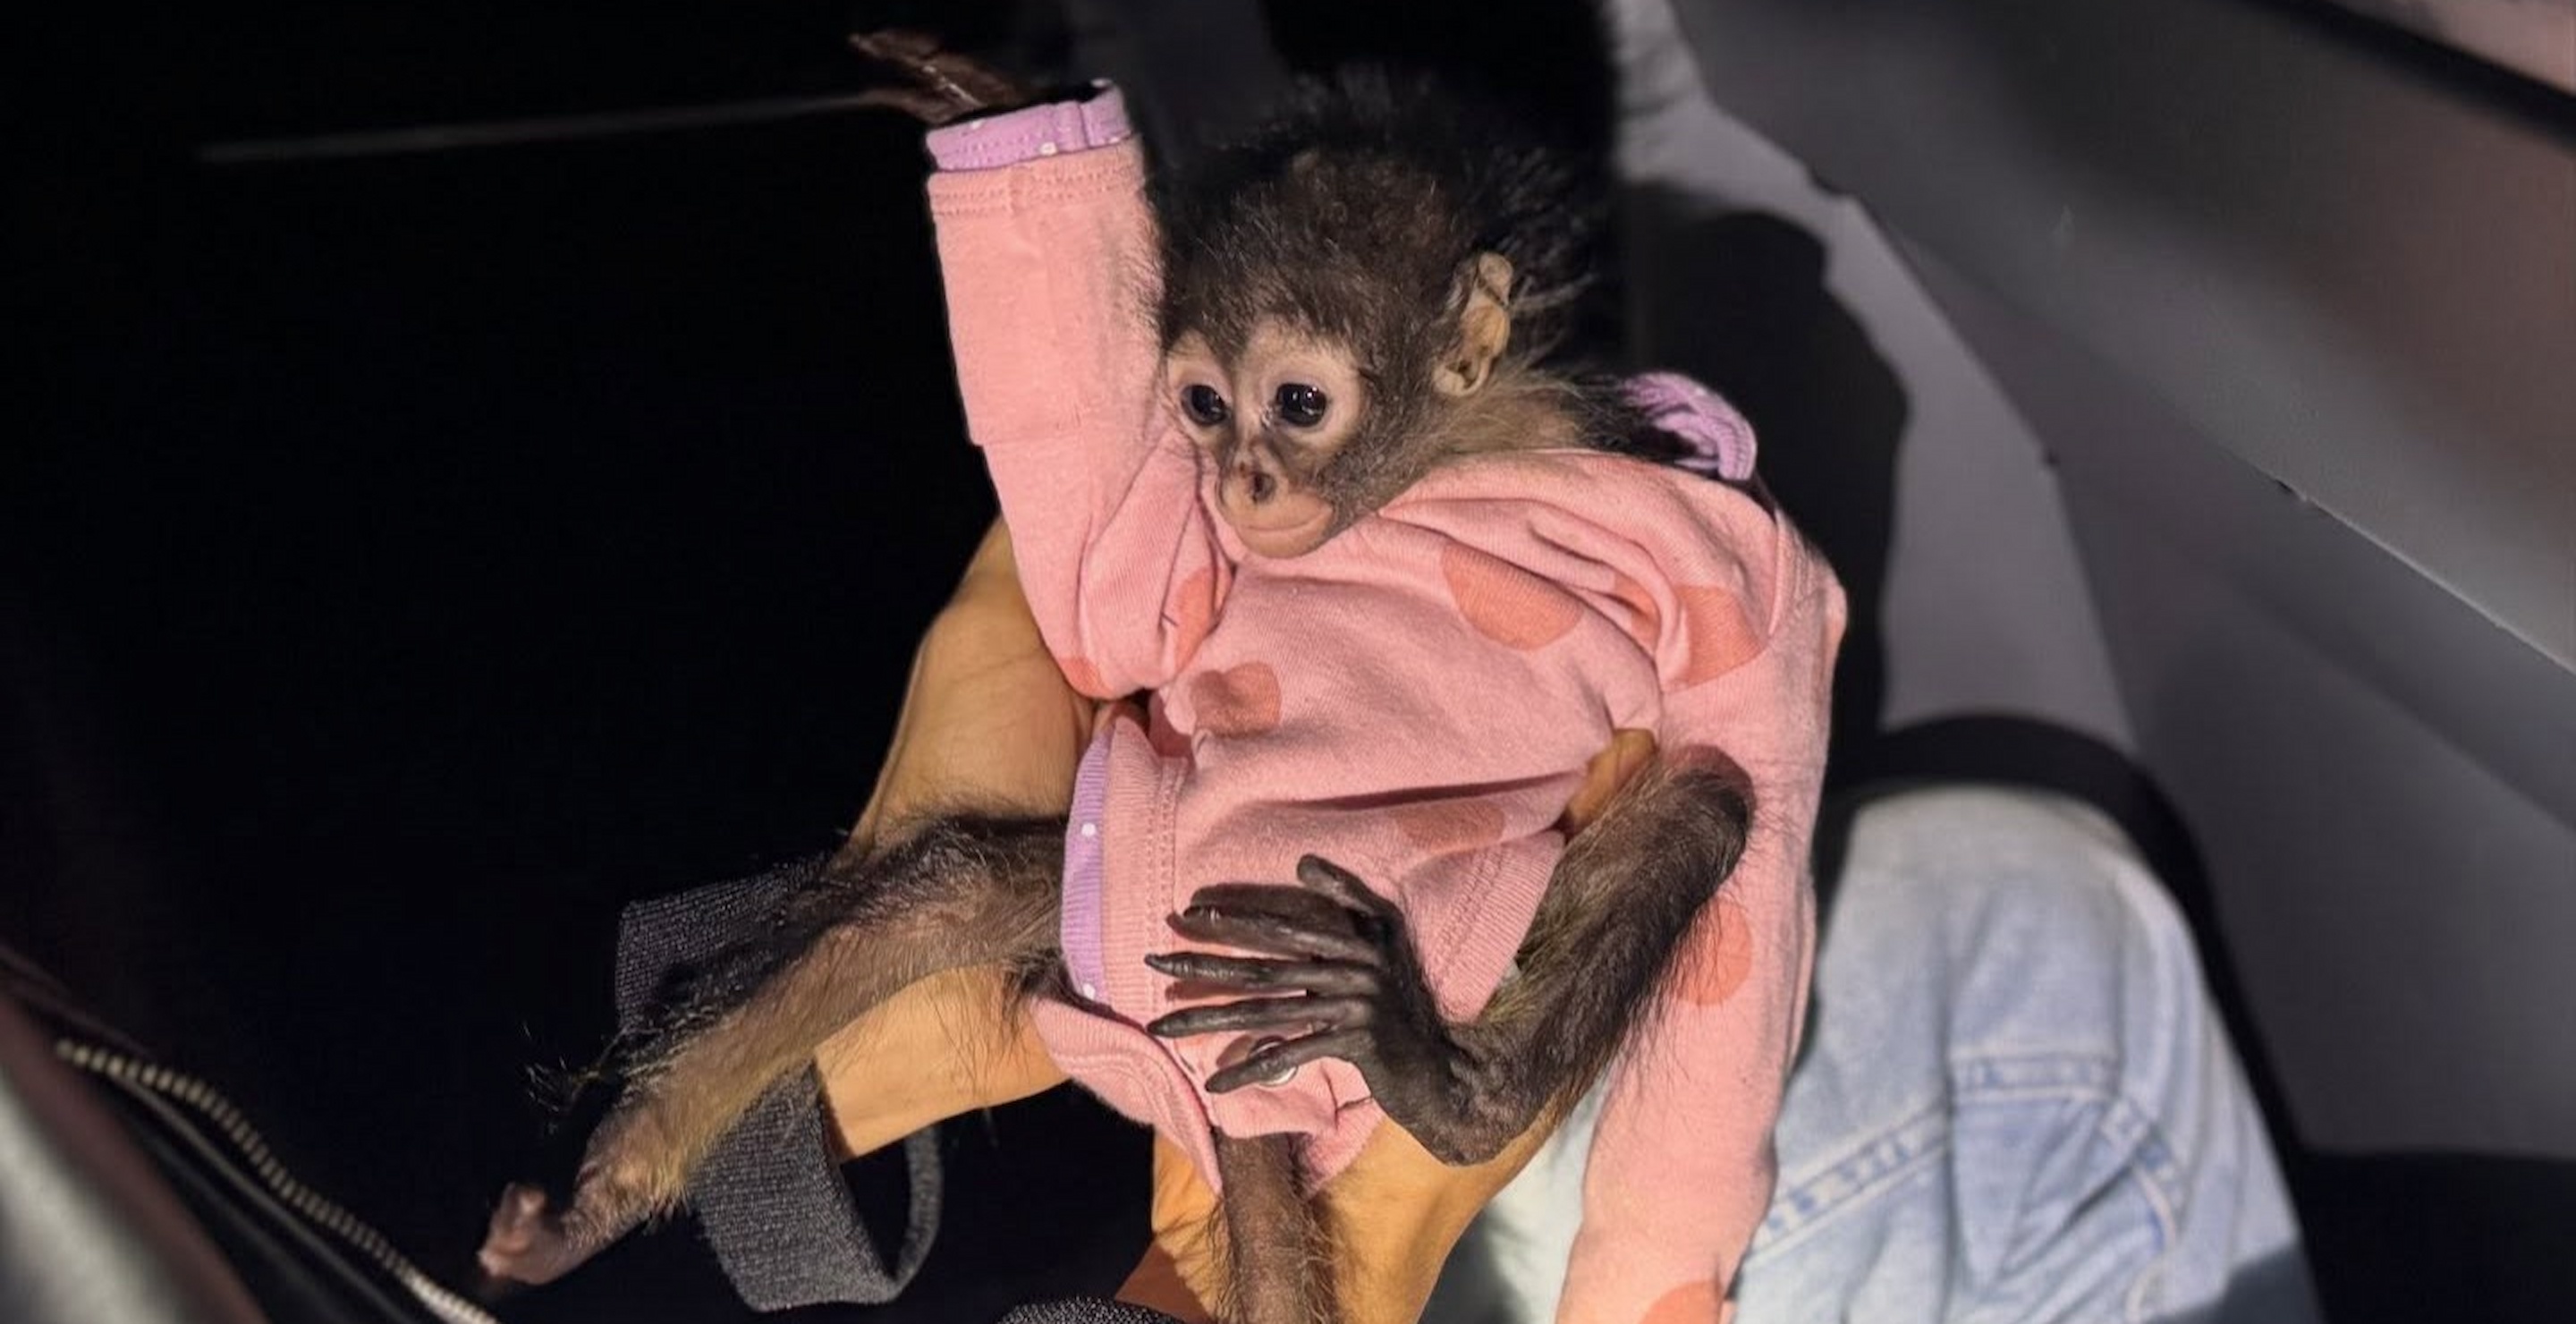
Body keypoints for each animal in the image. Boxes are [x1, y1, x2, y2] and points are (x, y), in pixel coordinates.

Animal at [481, 37, 1840, 1324]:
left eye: (1297, 402)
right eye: (1202, 404)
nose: (1243, 480)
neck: (1434, 462)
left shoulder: (1695, 530)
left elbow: (1765, 699)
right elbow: (1112, 614)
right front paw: (985, 105)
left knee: (1713, 805)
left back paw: (1451, 1091)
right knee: (942, 887)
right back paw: (603, 1193)